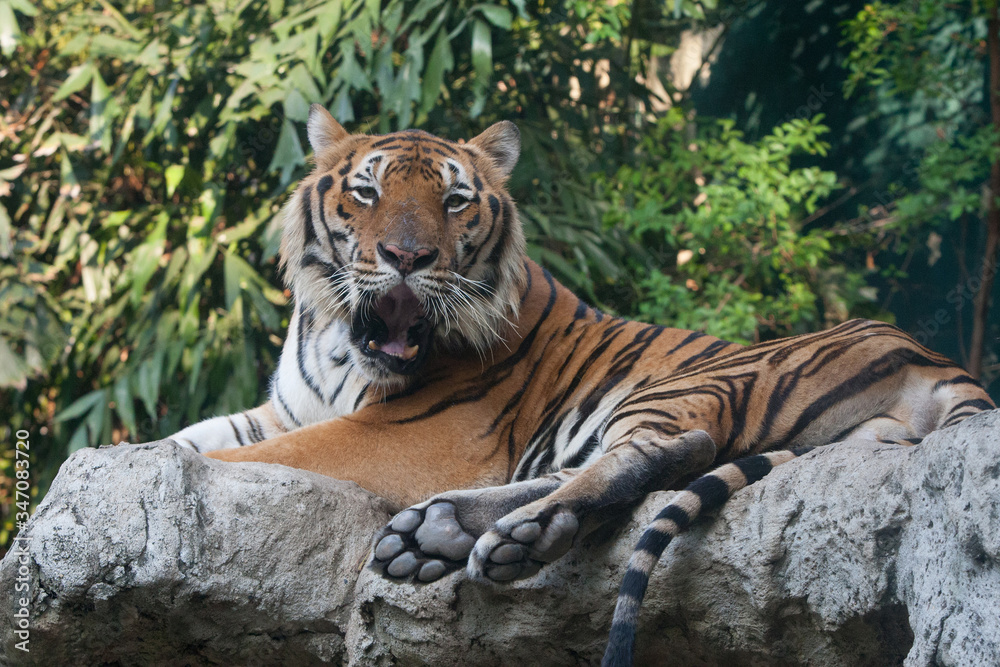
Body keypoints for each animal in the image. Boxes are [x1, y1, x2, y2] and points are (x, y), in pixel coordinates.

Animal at [166, 104, 995, 665]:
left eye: (455, 200)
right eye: (366, 193)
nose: (407, 258)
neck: (340, 341)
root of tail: (933, 358)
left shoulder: (407, 433)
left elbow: (242, 459)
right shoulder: (285, 408)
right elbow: (192, 438)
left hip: (692, 383)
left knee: (667, 452)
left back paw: (518, 536)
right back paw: (440, 532)